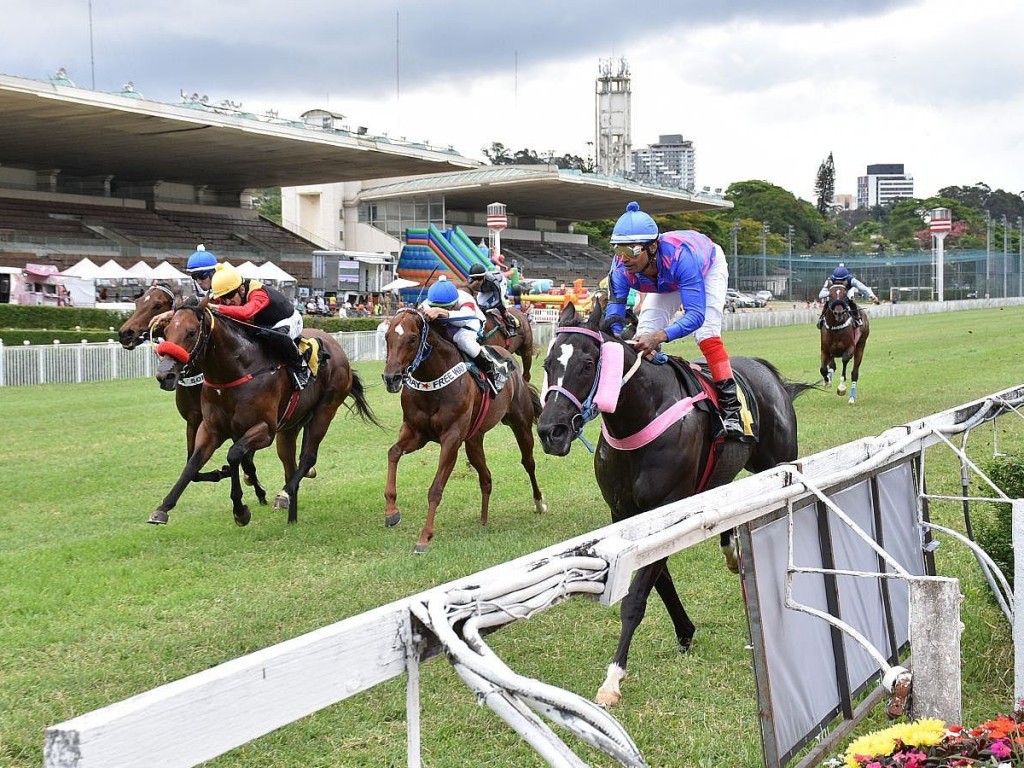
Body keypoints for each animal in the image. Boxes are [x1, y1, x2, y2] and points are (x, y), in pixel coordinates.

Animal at [117, 280, 268, 493]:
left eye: (157, 305)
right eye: (137, 301)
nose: (125, 333)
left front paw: (249, 481)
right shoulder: (194, 420)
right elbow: (193, 469)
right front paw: (222, 472)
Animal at [149, 303, 378, 528]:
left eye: (191, 332)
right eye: (166, 332)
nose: (164, 375)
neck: (237, 371)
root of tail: (338, 349)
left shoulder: (265, 430)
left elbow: (234, 454)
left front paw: (240, 511)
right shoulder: (210, 429)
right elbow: (192, 465)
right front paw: (162, 509)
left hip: (325, 409)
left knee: (308, 457)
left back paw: (284, 495)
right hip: (290, 426)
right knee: (290, 465)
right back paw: (291, 517)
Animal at [380, 309, 548, 557]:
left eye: (411, 338)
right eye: (387, 337)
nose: (391, 378)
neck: (432, 381)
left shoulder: (451, 438)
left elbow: (435, 489)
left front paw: (424, 537)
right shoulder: (416, 432)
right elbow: (393, 453)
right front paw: (391, 511)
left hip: (521, 424)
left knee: (528, 462)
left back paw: (539, 502)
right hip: (474, 440)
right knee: (486, 477)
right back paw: (484, 520)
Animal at [536, 303, 806, 708]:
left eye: (587, 363)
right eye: (548, 362)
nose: (550, 432)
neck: (638, 418)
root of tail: (766, 372)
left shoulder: (666, 506)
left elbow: (637, 596)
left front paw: (613, 678)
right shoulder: (624, 514)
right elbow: (660, 580)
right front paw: (685, 630)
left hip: (778, 462)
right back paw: (731, 550)